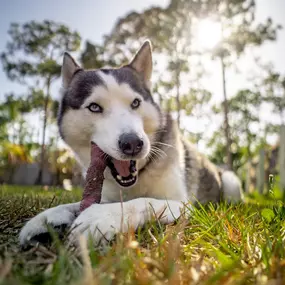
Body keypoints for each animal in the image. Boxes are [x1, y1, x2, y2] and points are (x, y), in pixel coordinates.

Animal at [18, 40, 241, 246]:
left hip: (230, 181)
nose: (133, 143)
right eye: (94, 107)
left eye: (135, 103)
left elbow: (143, 202)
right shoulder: (105, 195)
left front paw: (101, 216)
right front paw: (46, 218)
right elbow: (75, 204)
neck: (137, 177)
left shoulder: (181, 204)